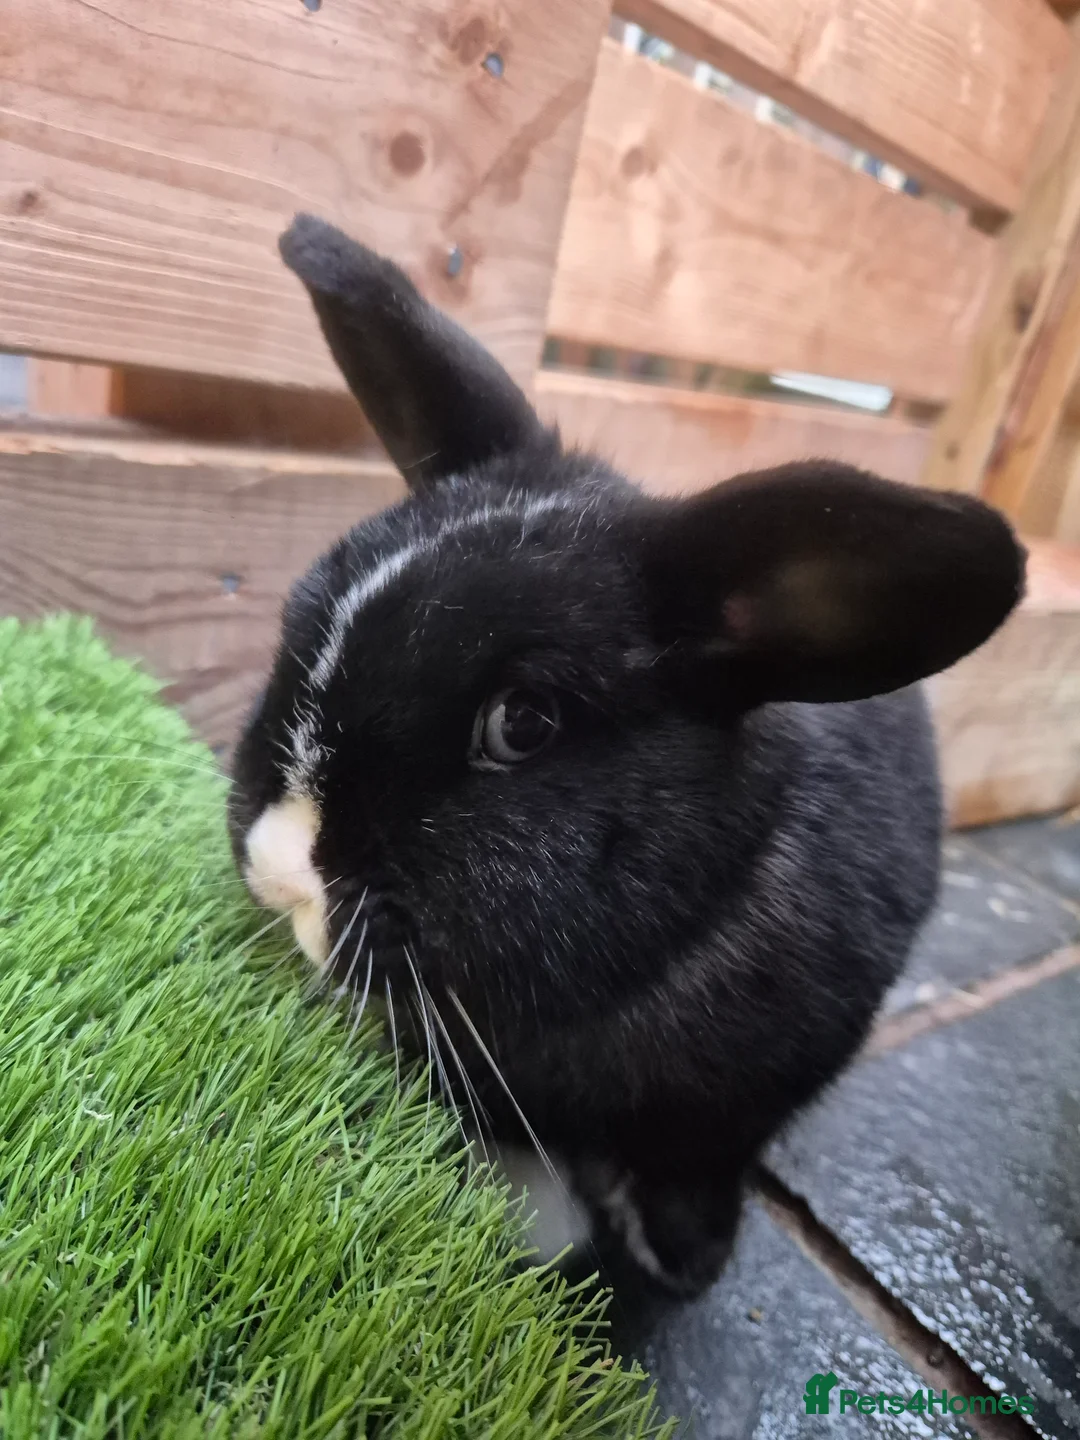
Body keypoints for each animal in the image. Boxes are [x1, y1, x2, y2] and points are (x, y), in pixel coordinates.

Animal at [228, 213, 1025, 1299]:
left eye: (522, 725)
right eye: (302, 609)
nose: (276, 871)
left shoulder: (745, 1103)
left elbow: (700, 1160)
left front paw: (683, 1256)